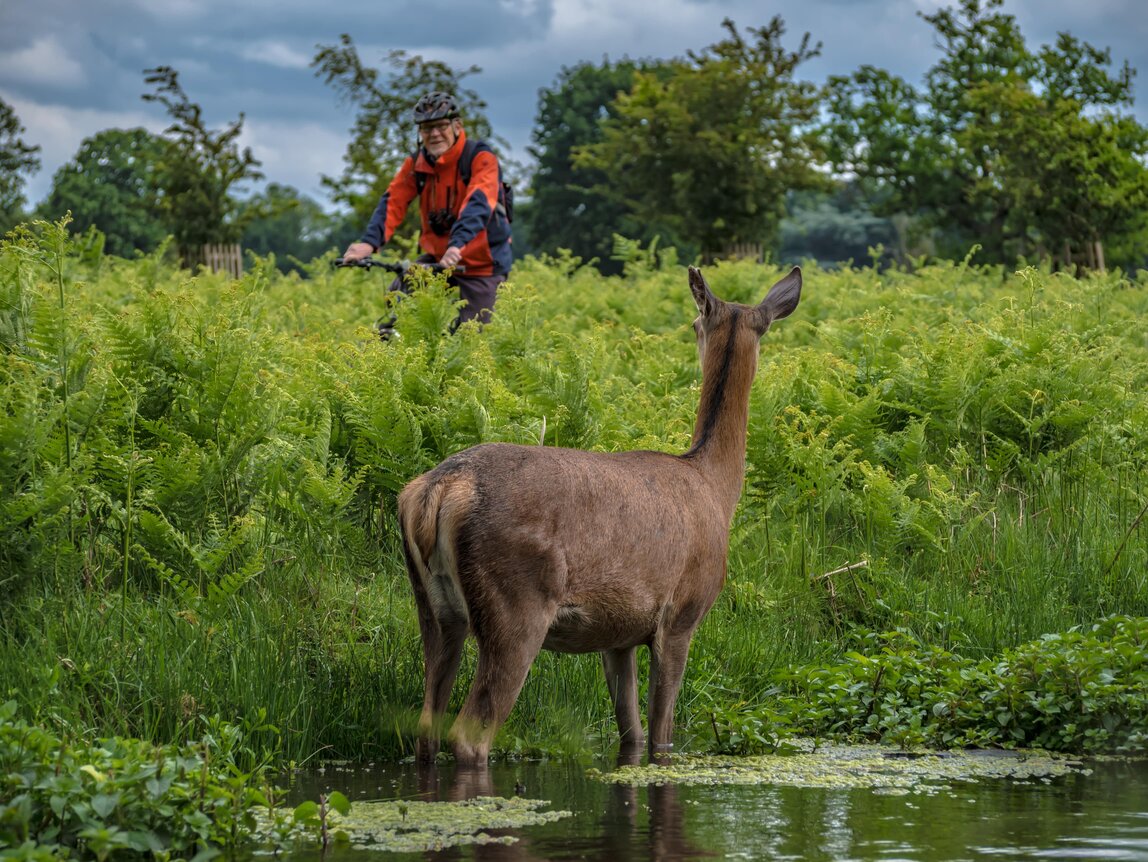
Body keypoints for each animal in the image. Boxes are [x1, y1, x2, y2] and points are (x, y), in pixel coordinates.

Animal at [399, 266, 803, 766]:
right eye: (694, 324)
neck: (713, 486)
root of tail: (440, 488)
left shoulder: (619, 634)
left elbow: (630, 731)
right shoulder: (681, 614)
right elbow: (661, 731)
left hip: (432, 606)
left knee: (426, 726)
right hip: (516, 603)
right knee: (470, 733)